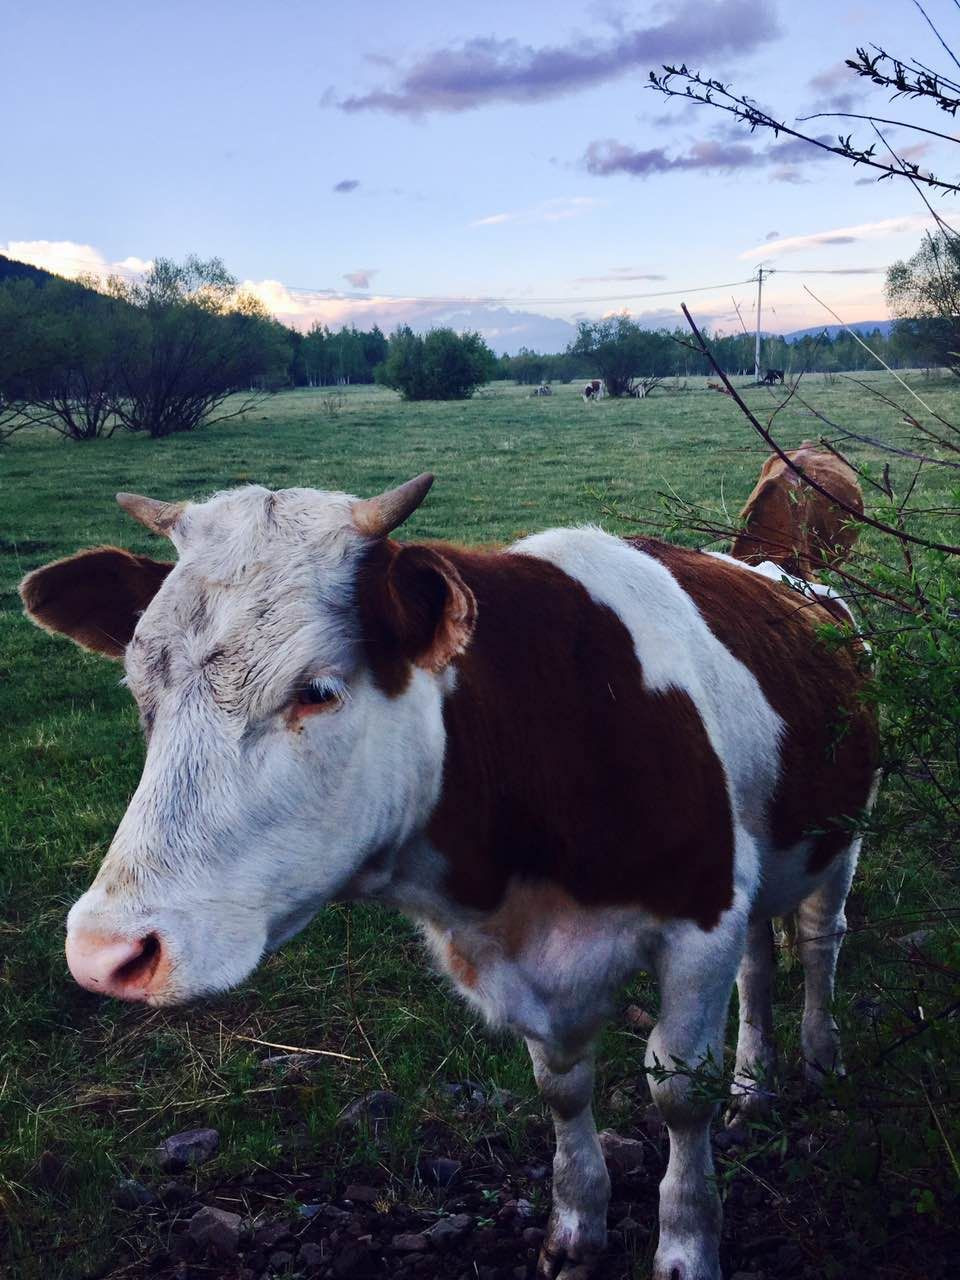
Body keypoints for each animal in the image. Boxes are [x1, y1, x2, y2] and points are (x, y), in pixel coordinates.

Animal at [20, 478, 880, 1280]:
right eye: (141, 693)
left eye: (317, 690)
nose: (106, 952)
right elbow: (561, 1087)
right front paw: (578, 1227)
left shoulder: (701, 916)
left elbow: (678, 1091)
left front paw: (686, 1246)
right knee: (758, 965)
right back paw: (753, 1087)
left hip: (841, 839)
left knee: (818, 941)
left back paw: (818, 1058)